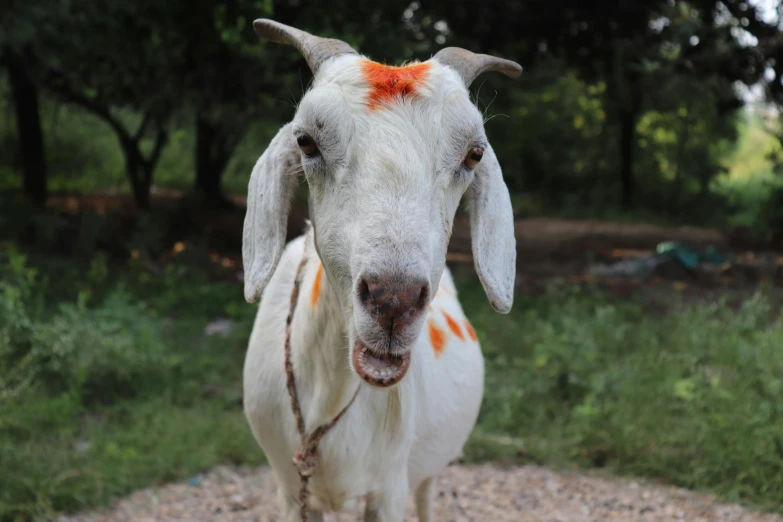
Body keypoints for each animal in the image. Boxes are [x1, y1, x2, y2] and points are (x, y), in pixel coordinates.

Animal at [242, 19, 516, 520]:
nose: (393, 300)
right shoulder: (291, 489)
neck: (330, 390)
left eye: (473, 155)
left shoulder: (389, 485)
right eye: (306, 142)